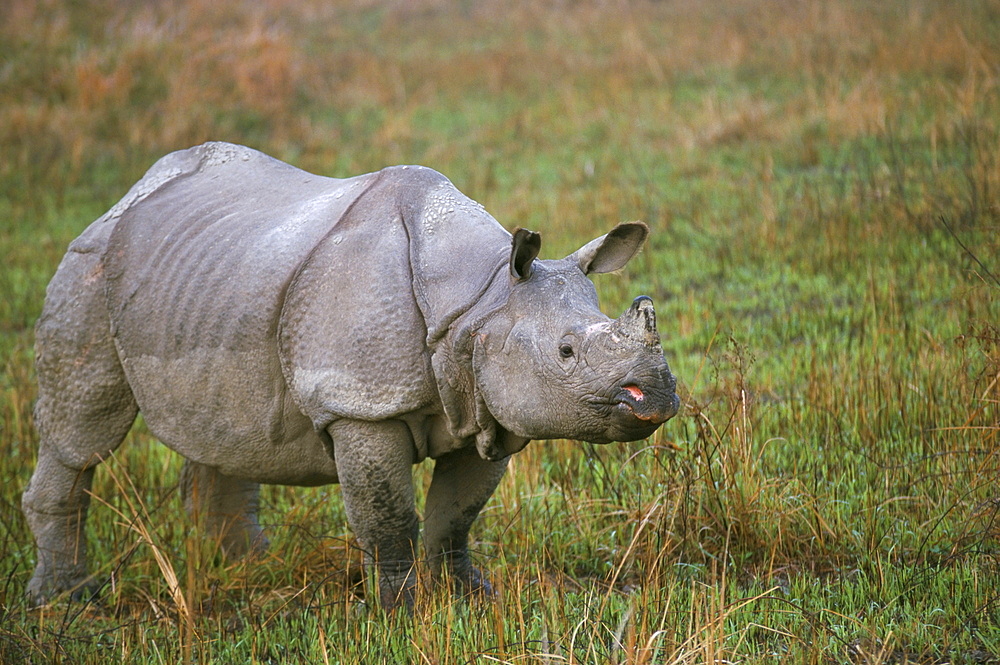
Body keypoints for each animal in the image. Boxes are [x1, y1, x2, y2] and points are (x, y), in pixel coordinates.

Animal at [21, 143, 680, 608]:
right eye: (566, 351)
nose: (657, 394)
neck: (483, 300)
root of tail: (129, 195)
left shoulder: (489, 404)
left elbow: (456, 516)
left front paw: (471, 600)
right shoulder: (359, 403)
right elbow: (388, 518)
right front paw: (399, 614)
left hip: (211, 277)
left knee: (222, 428)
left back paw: (249, 570)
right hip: (89, 266)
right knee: (83, 432)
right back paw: (68, 601)